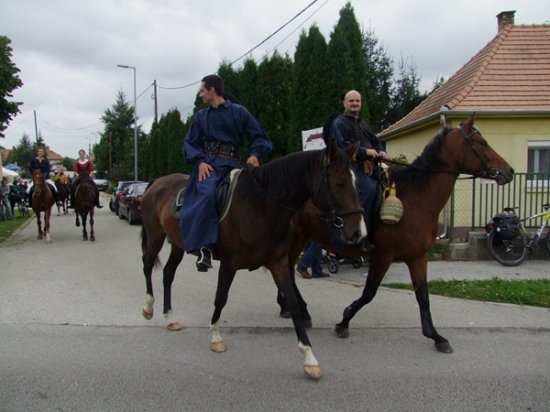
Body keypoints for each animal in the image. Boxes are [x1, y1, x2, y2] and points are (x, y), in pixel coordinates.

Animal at [140, 139, 365, 379]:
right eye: (339, 182)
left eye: (356, 181)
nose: (358, 232)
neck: (260, 207)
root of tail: (157, 182)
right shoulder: (229, 264)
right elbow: (221, 298)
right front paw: (216, 337)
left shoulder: (278, 262)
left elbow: (293, 303)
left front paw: (310, 359)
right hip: (155, 237)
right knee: (147, 266)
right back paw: (148, 308)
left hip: (178, 244)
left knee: (168, 274)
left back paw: (170, 318)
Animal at [280, 113, 514, 354]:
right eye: (483, 142)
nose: (509, 171)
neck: (416, 201)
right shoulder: (383, 256)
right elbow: (369, 293)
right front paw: (344, 321)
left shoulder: (417, 257)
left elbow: (423, 296)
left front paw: (436, 336)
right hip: (296, 239)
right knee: (288, 270)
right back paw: (299, 309)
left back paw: (289, 307)